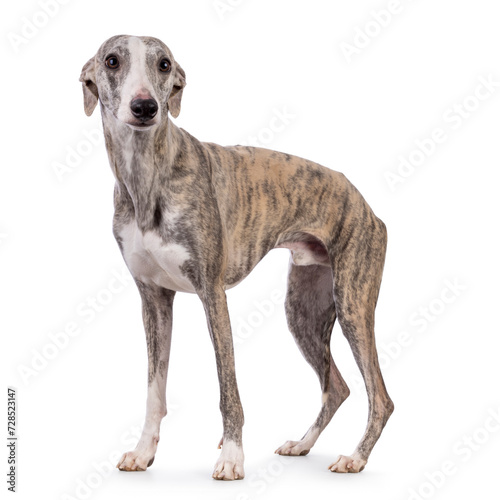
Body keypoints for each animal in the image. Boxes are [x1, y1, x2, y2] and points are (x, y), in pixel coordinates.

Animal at [81, 34, 394, 480]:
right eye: (112, 60)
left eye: (163, 64)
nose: (145, 107)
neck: (147, 175)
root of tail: (368, 207)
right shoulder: (154, 299)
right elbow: (154, 391)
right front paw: (143, 452)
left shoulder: (212, 294)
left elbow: (228, 387)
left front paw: (231, 457)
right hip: (303, 311)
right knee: (337, 387)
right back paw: (302, 444)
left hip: (352, 305)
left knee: (380, 396)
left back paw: (355, 457)